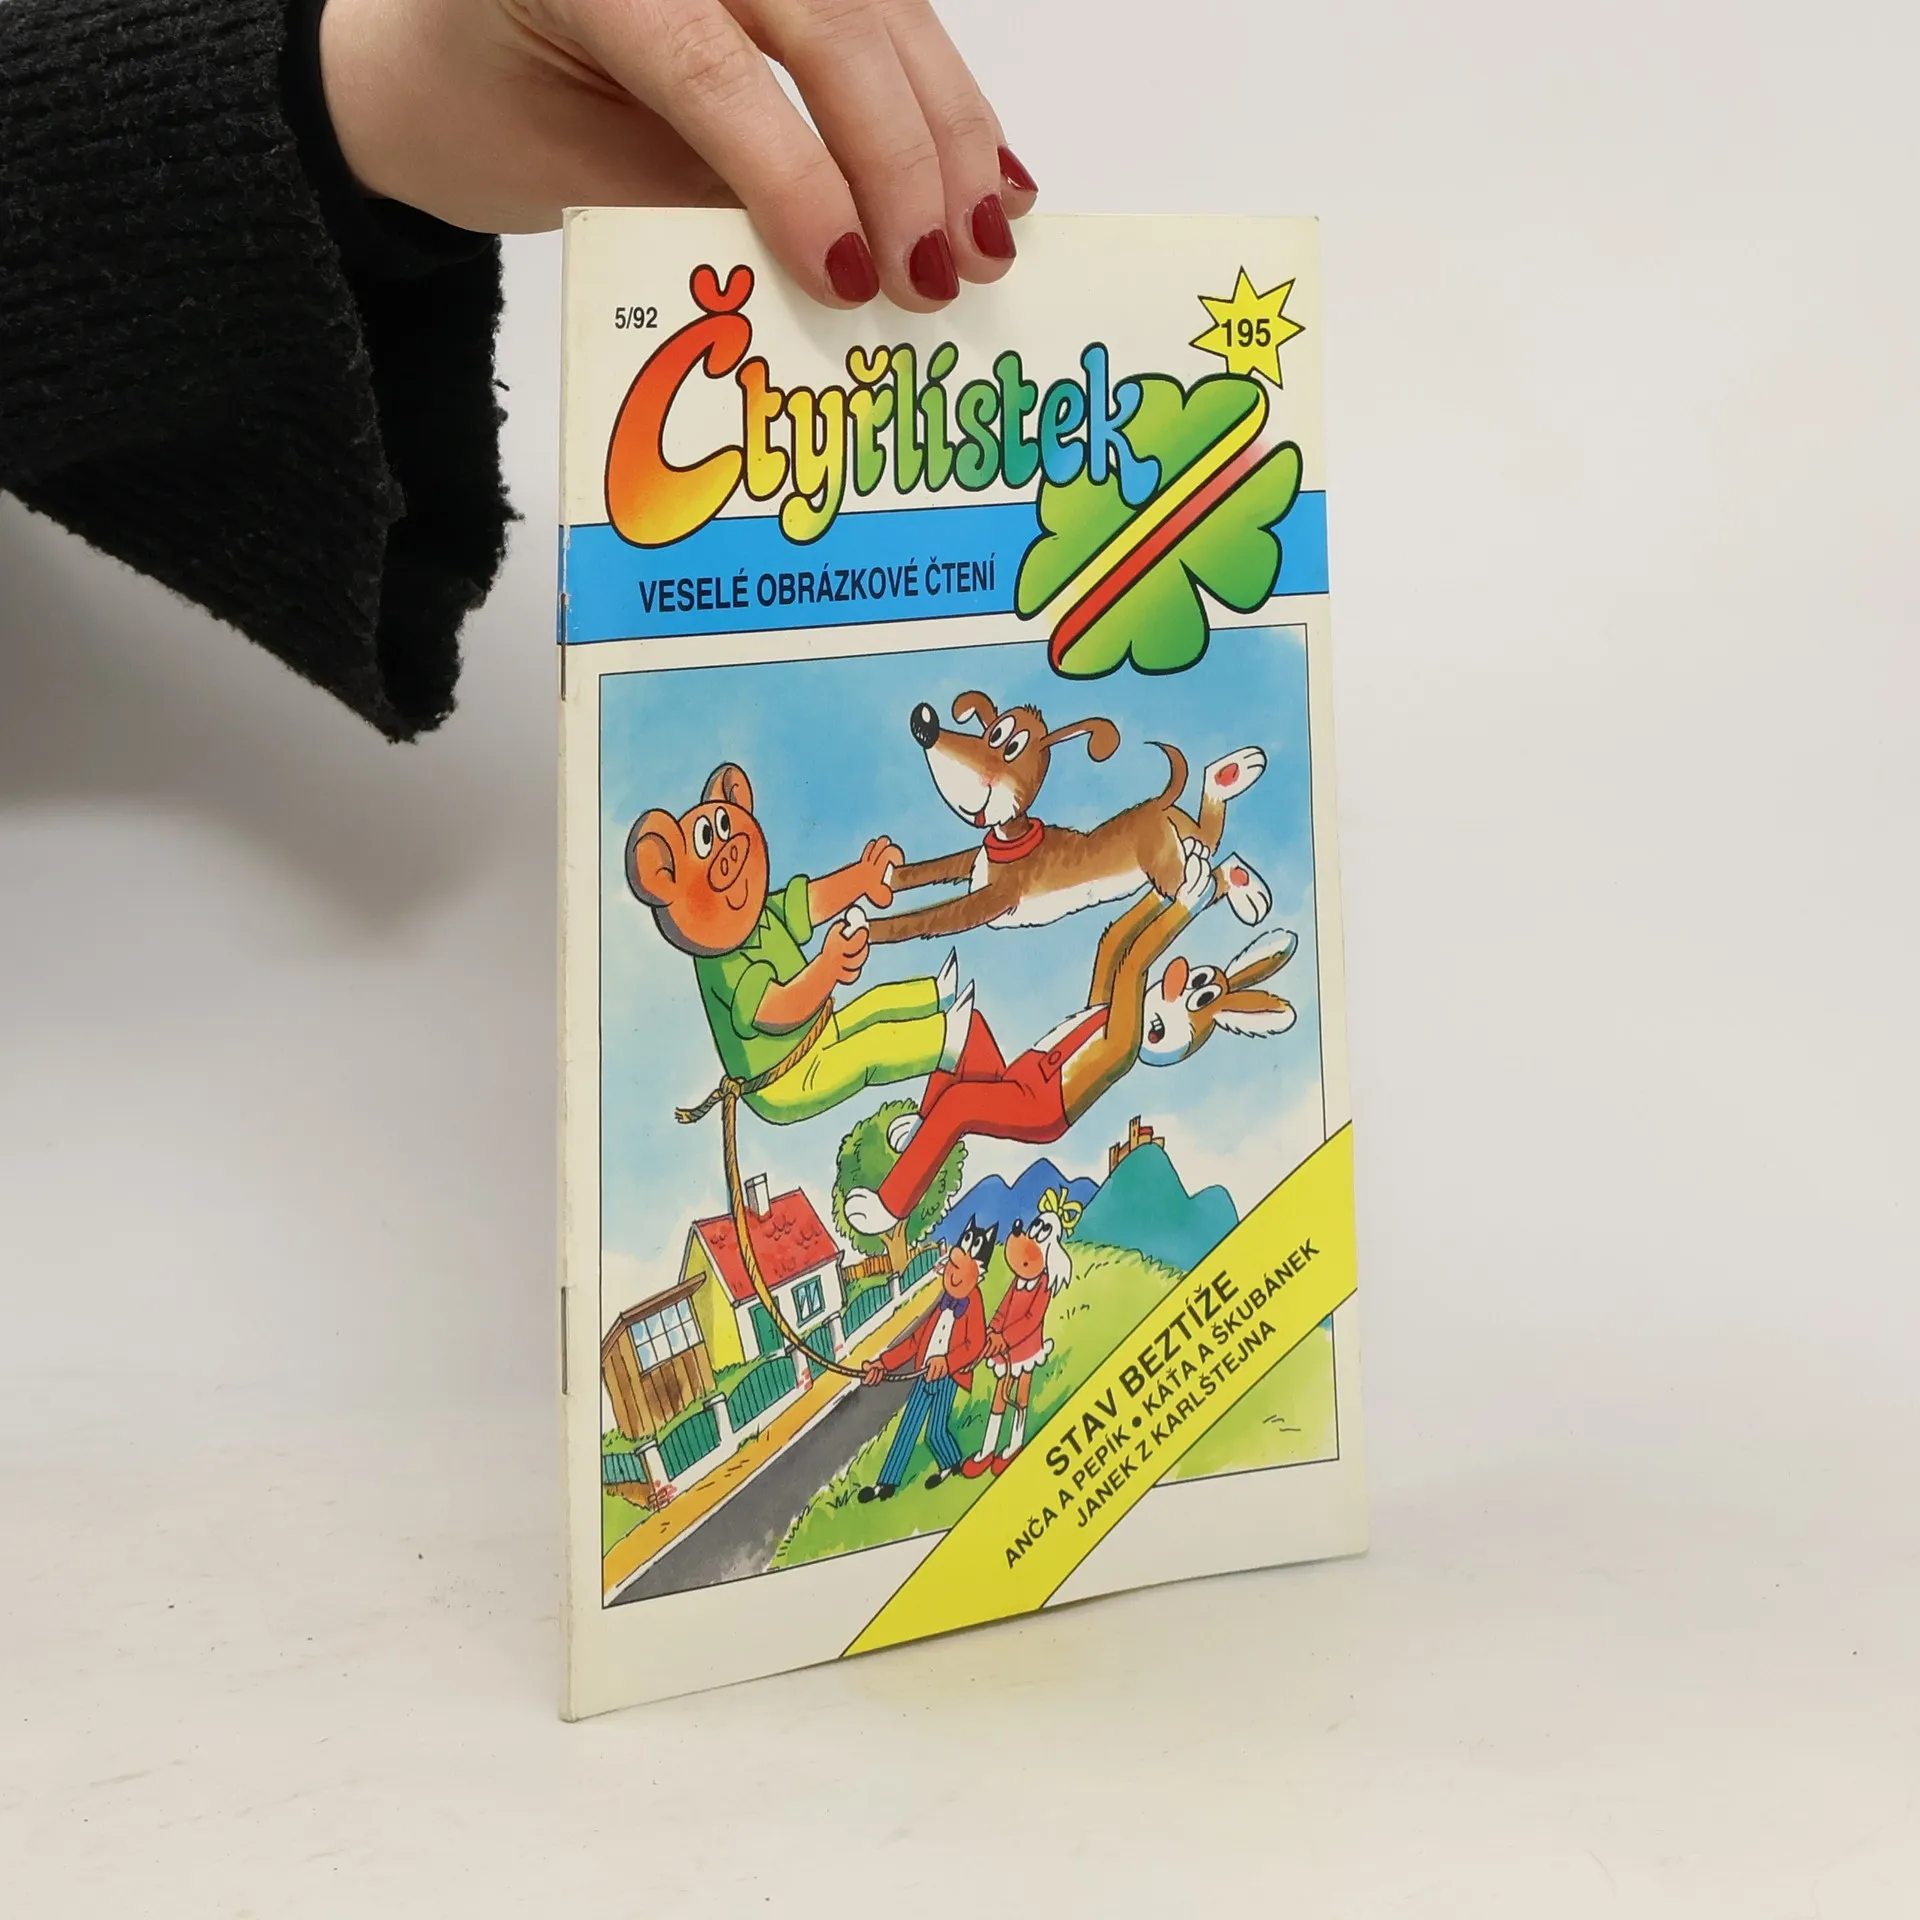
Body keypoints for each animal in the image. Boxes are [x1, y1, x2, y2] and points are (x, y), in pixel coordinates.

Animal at [864, 691, 1271, 945]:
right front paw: (886, 872)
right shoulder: (973, 862)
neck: (1010, 840)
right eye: (991, 730)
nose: (925, 723)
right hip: (1183, 836)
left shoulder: (992, 900)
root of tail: (1156, 802)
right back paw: (1235, 780)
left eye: (1009, 744)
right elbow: (939, 865)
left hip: (1165, 866)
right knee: (1210, 842)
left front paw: (863, 927)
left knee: (1202, 880)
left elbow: (925, 918)